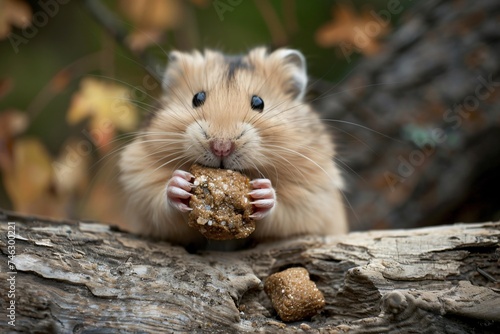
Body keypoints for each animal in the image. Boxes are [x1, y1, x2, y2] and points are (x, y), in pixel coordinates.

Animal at [119, 46, 350, 245]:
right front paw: (179, 184)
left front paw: (264, 193)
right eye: (197, 98)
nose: (221, 147)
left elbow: (282, 213)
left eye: (259, 102)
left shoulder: (312, 194)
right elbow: (161, 205)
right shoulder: (140, 181)